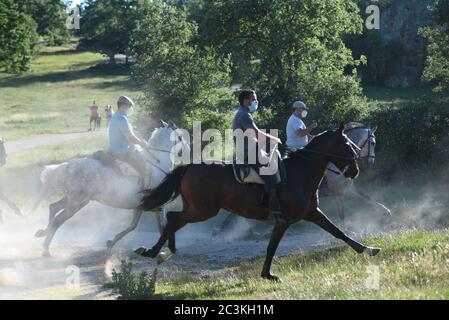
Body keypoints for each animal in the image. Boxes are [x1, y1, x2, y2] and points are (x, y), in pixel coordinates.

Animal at [31, 120, 189, 258]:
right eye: (180, 136)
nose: (188, 150)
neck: (158, 164)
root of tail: (68, 166)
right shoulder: (159, 207)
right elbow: (162, 227)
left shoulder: (140, 207)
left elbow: (132, 226)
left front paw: (110, 243)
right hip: (78, 202)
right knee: (58, 219)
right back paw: (45, 249)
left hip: (72, 199)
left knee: (53, 207)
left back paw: (42, 233)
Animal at [135, 122, 380, 280]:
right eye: (347, 145)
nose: (355, 170)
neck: (301, 172)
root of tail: (189, 167)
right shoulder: (284, 221)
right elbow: (272, 247)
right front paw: (268, 274)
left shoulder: (312, 213)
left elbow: (338, 231)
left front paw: (368, 249)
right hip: (203, 210)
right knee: (173, 217)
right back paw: (155, 251)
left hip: (197, 208)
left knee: (174, 219)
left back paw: (163, 252)